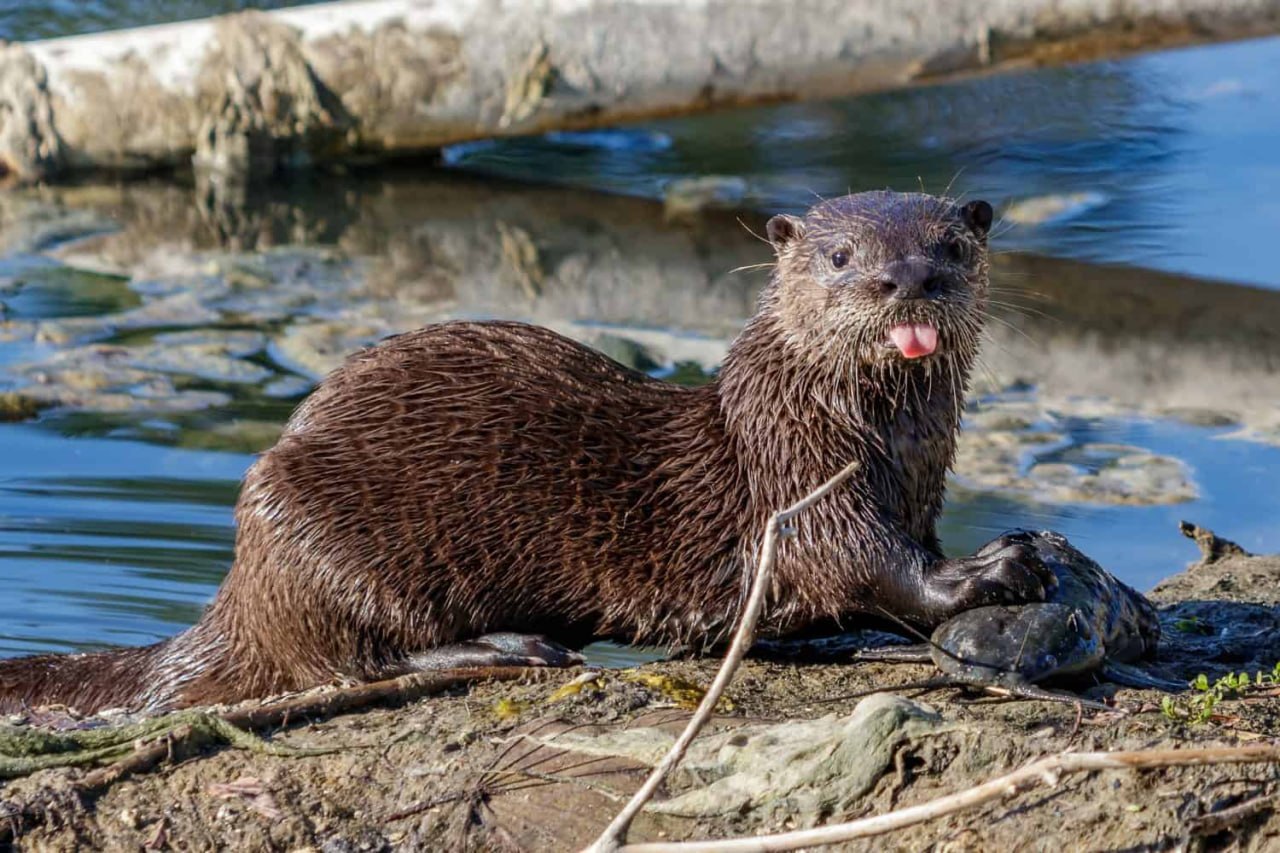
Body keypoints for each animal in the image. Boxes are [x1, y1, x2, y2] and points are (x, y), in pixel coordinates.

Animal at [0, 191, 1054, 714]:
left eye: (950, 245)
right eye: (839, 258)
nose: (903, 278)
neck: (879, 444)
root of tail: (240, 587)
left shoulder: (912, 486)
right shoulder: (801, 481)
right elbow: (870, 564)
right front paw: (993, 568)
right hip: (316, 525)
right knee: (348, 662)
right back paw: (515, 645)